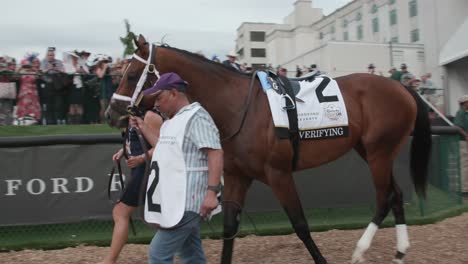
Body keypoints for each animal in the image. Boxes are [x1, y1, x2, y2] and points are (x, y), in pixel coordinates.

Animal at [105, 35, 432, 264]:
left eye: (132, 74)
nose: (111, 113)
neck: (240, 107)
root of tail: (402, 87)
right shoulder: (237, 176)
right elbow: (229, 229)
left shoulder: (279, 174)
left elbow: (300, 224)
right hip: (371, 150)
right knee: (396, 194)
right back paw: (399, 252)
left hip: (379, 153)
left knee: (384, 197)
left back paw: (361, 250)